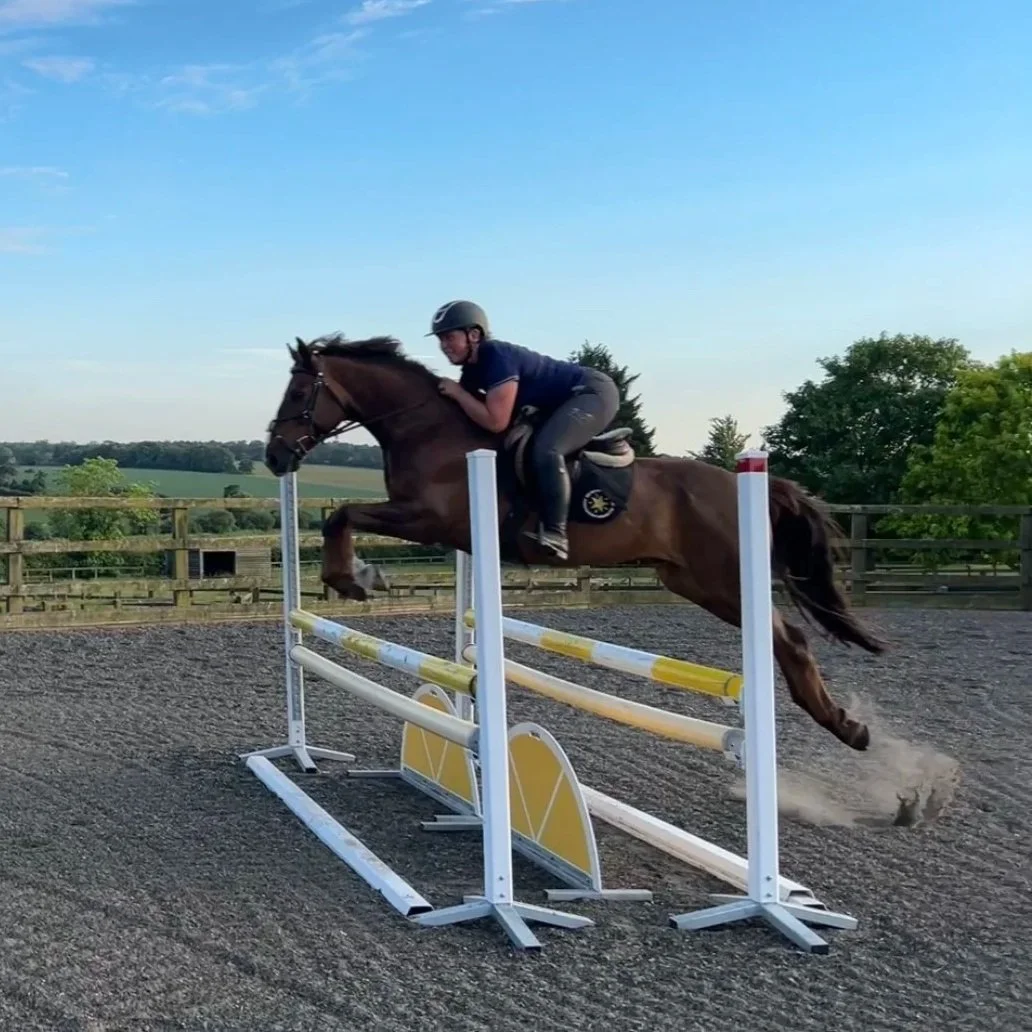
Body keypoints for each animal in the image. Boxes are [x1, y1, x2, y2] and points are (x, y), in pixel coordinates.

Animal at [264, 333, 886, 752]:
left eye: (297, 390)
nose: (274, 457)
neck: (428, 428)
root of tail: (744, 483)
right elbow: (345, 516)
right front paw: (357, 577)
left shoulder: (430, 519)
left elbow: (344, 515)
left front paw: (353, 579)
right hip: (693, 580)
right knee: (784, 639)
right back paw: (845, 727)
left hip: (725, 578)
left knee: (790, 640)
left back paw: (846, 727)